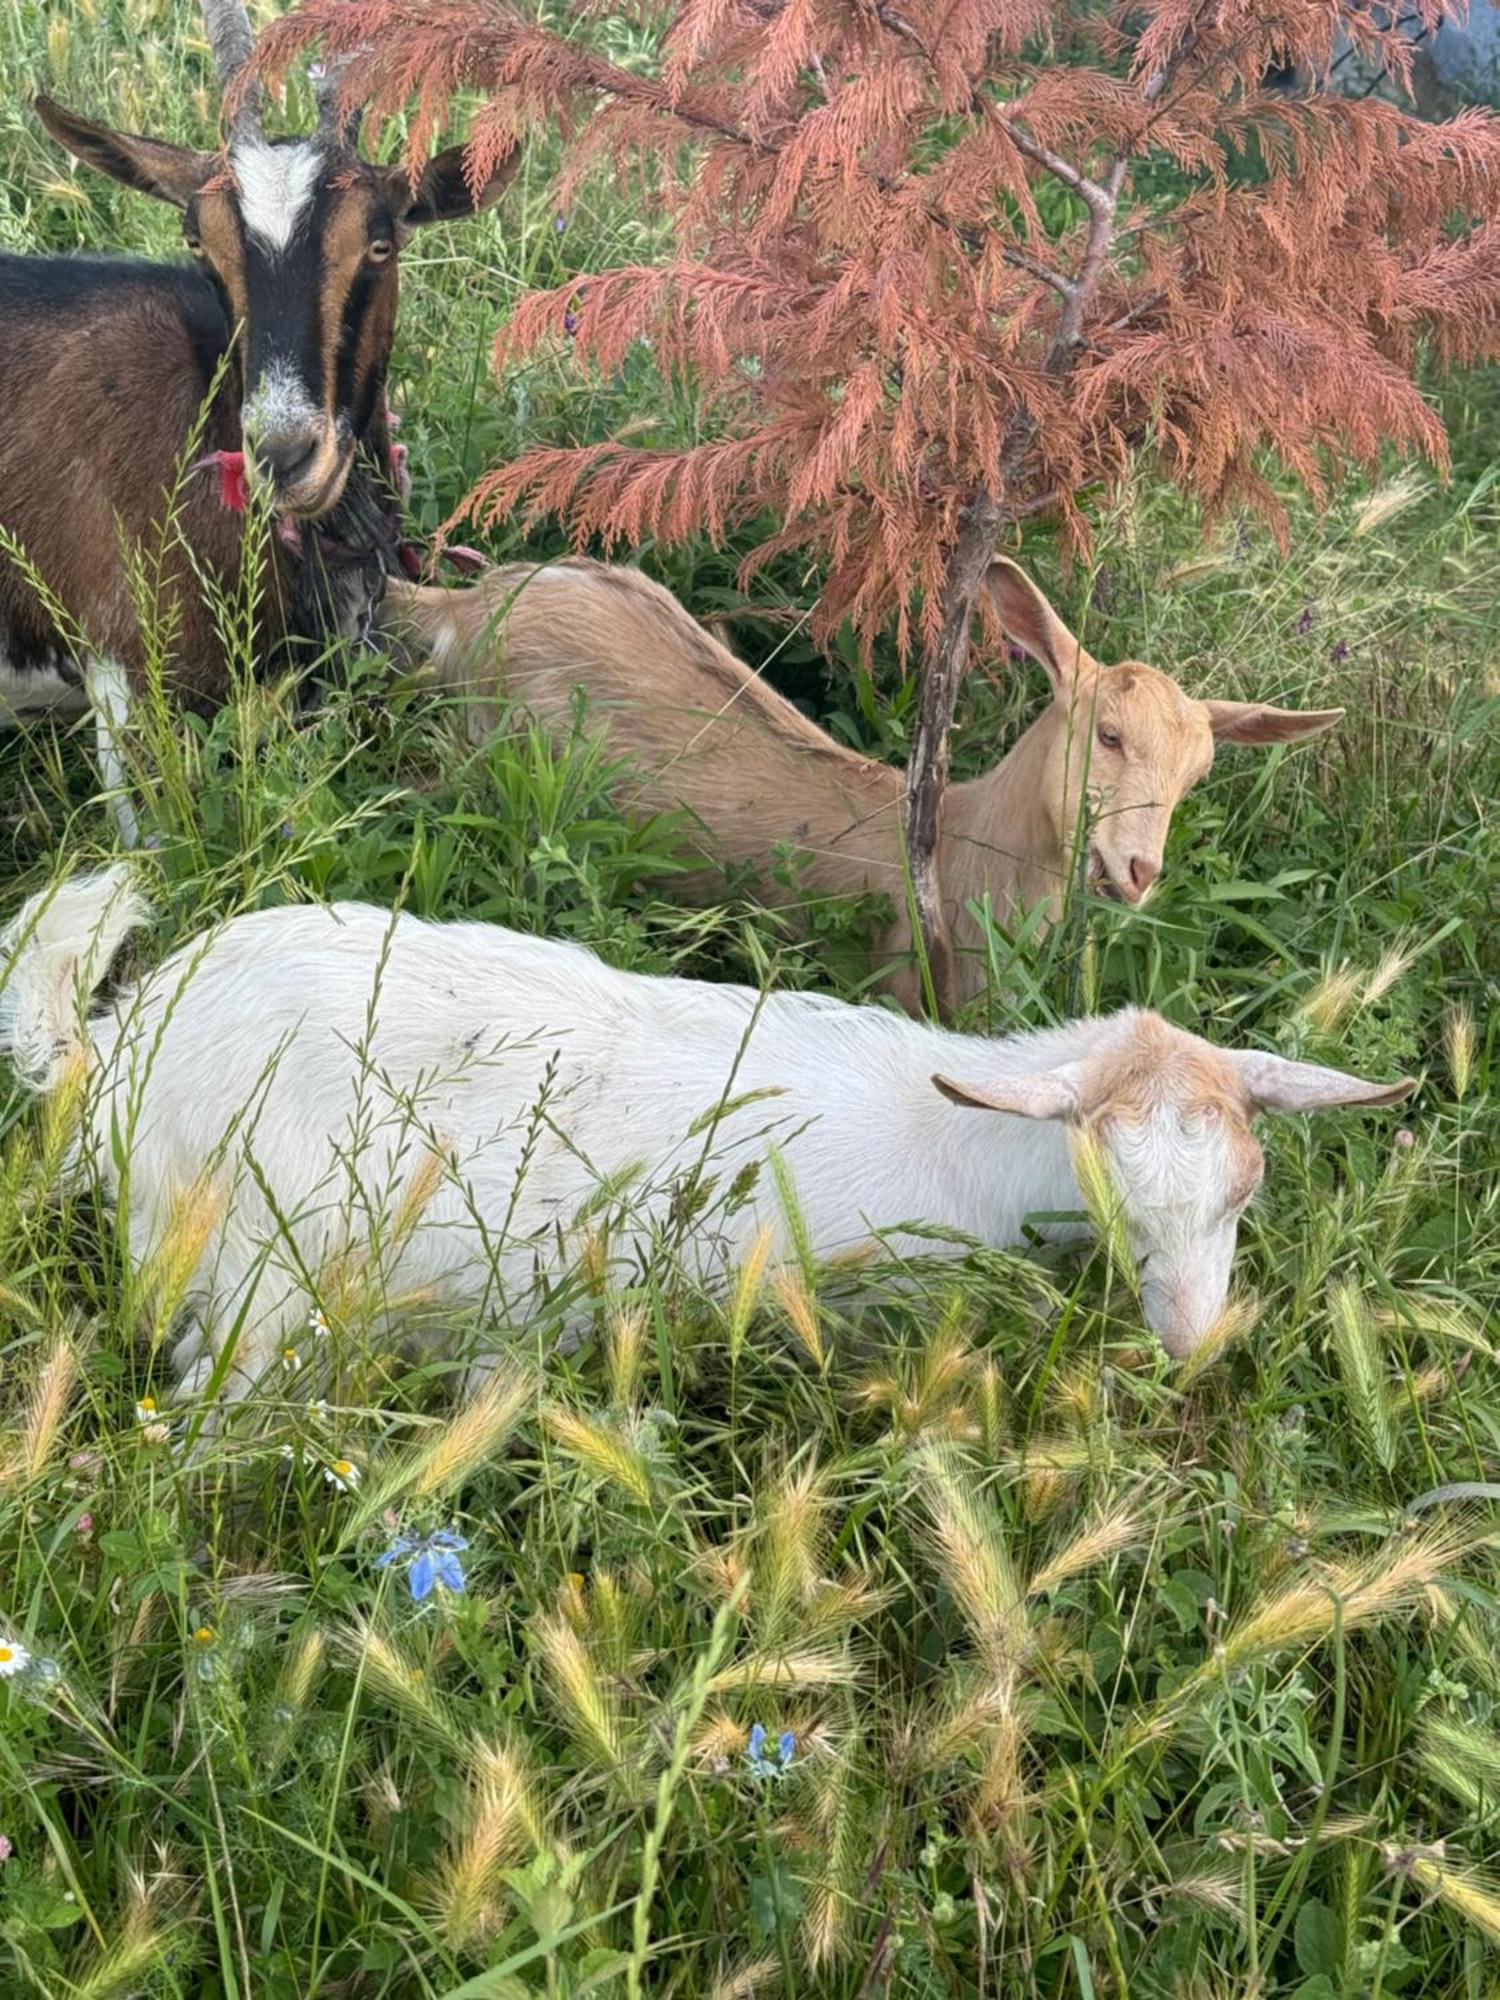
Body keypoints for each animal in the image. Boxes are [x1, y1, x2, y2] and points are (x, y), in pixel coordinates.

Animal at [0, 868, 1408, 1400]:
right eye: (1112, 1183)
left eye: (1244, 1187)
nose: (1192, 1340)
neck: (962, 1133)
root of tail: (120, 1052)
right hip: (262, 1284)